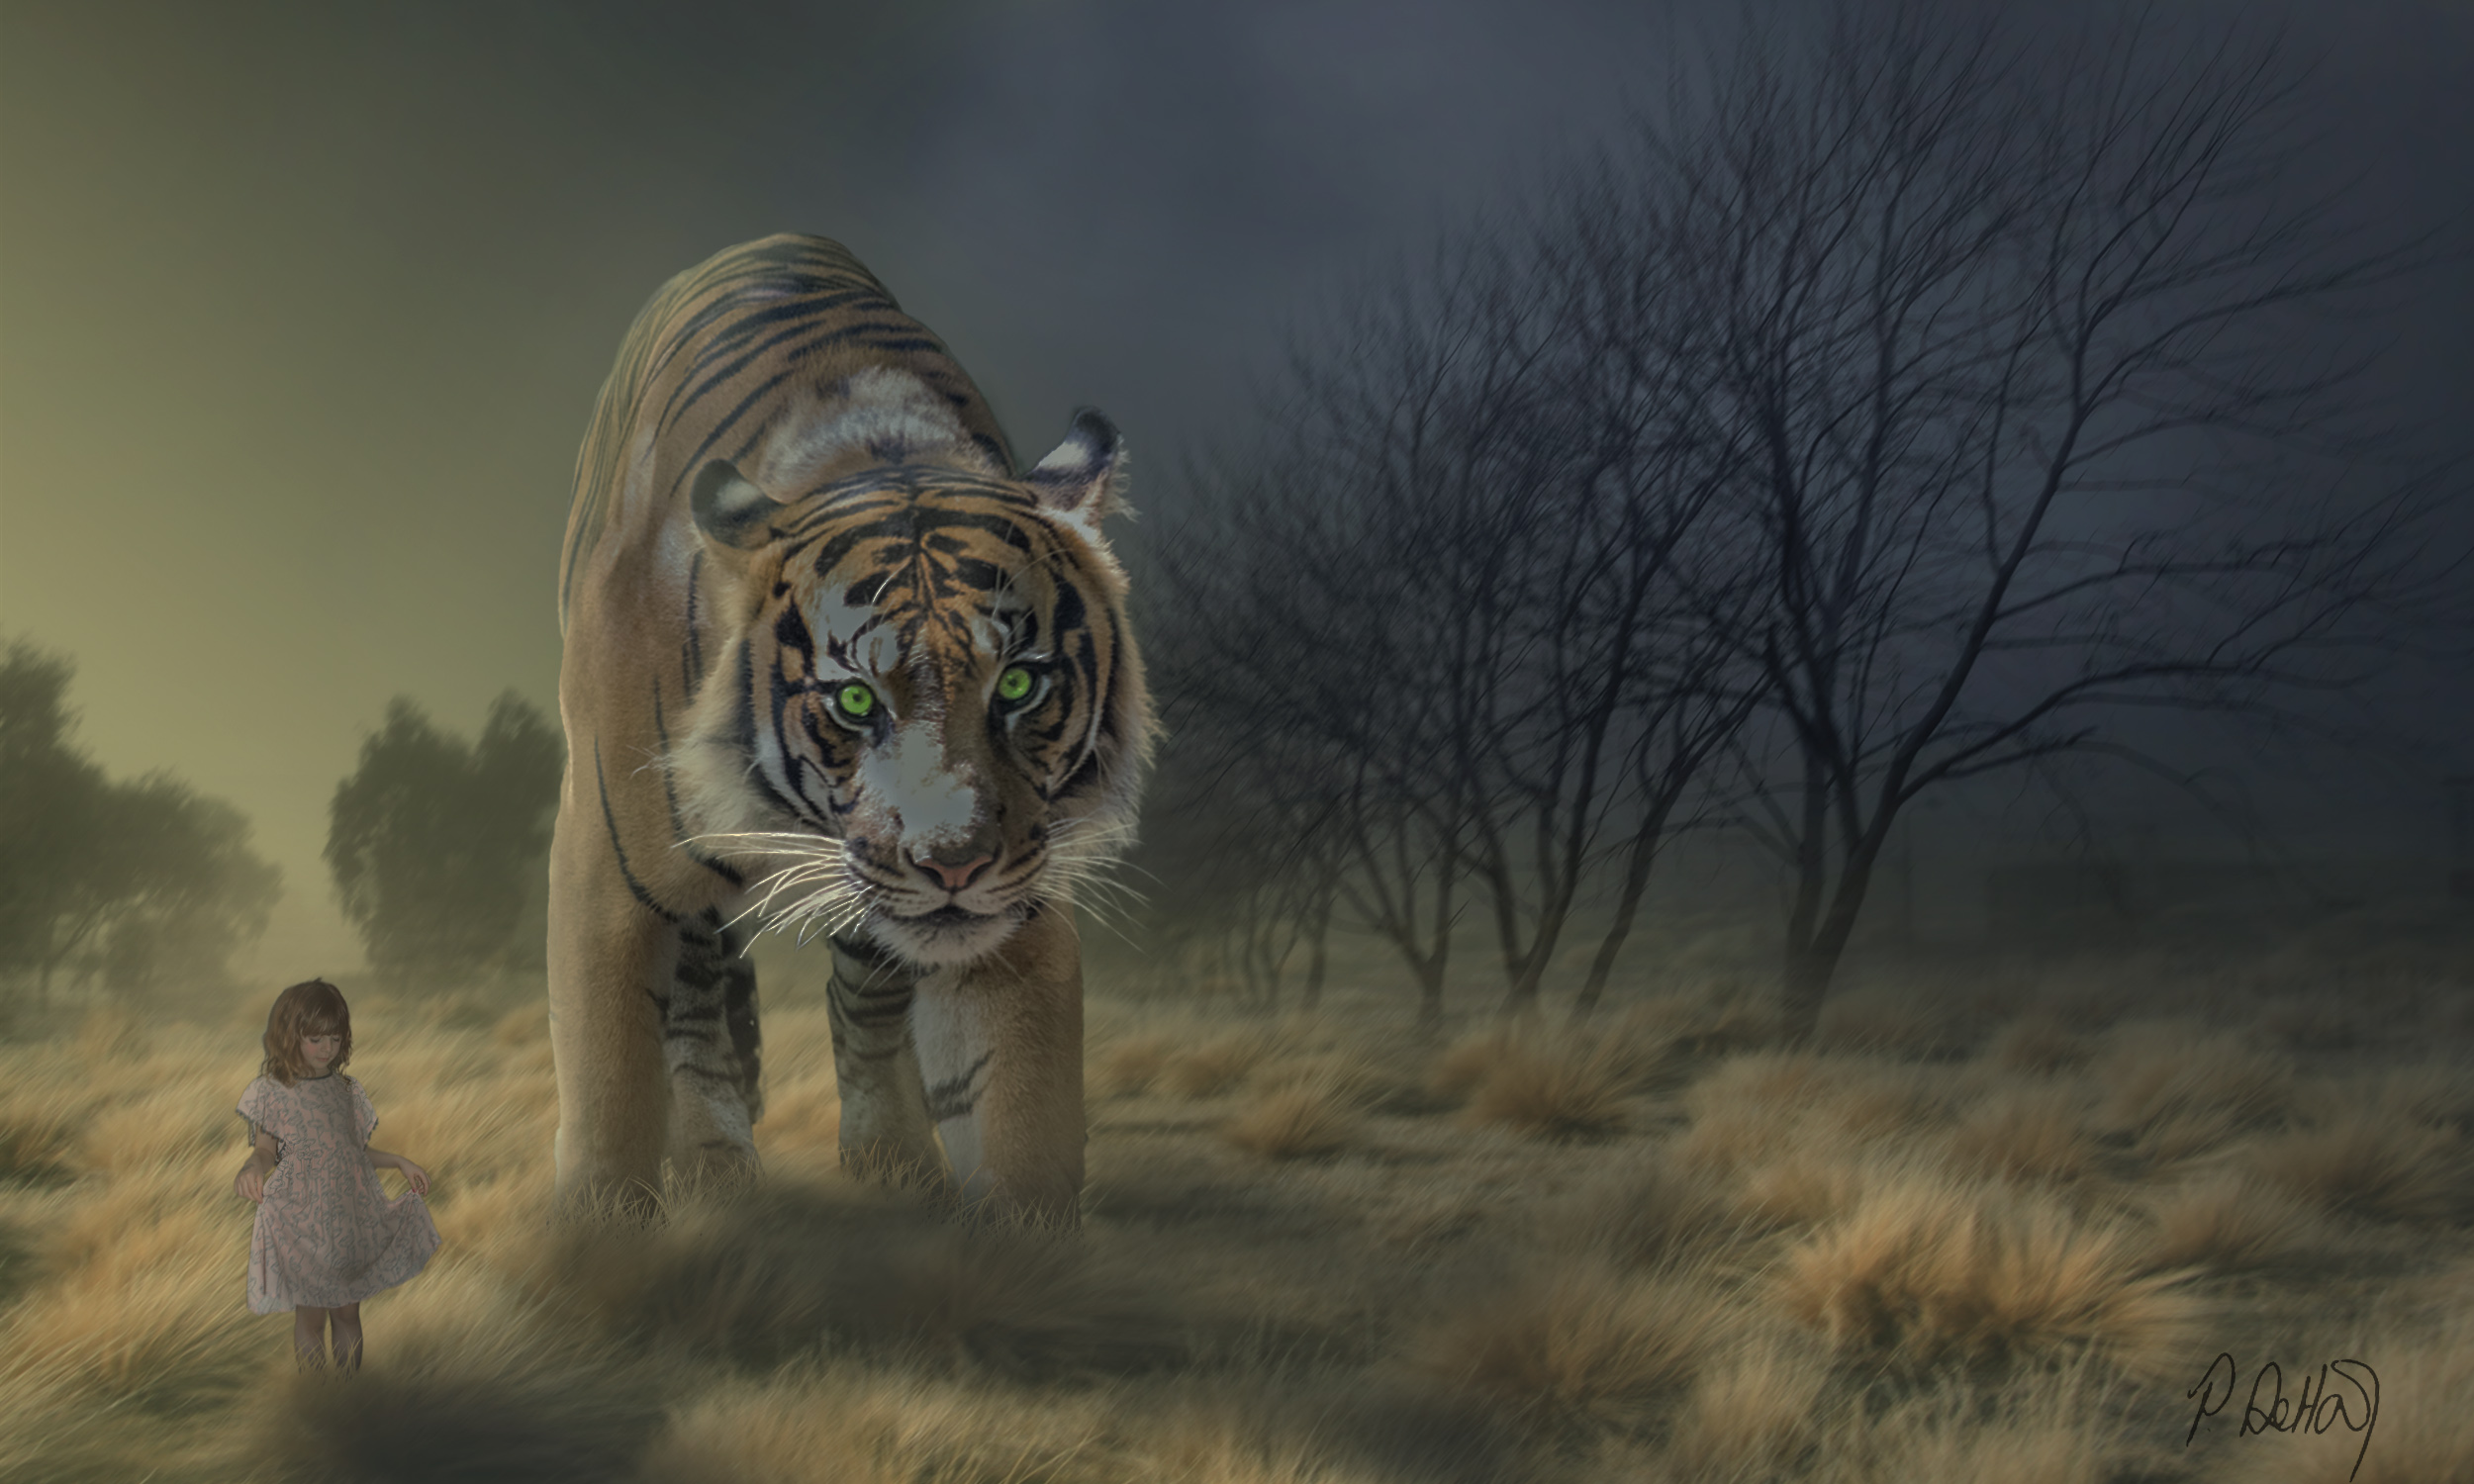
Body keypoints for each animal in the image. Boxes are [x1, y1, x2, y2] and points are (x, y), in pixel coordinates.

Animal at [549, 233, 1151, 1224]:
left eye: (1019, 684)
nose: (954, 864)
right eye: (858, 700)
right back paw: (714, 1163)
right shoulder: (608, 875)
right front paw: (601, 1233)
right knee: (697, 1004)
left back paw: (890, 1156)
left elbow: (1017, 1103)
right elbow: (611, 1077)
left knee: (865, 996)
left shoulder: (1014, 903)